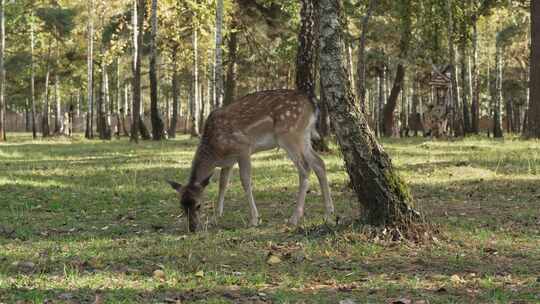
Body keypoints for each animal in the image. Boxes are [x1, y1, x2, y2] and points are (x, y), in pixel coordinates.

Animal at [167, 89, 334, 232]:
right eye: (181, 206)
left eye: (199, 205)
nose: (192, 228)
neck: (215, 153)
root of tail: (312, 105)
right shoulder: (228, 162)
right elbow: (223, 184)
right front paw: (217, 216)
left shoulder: (243, 149)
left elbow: (245, 181)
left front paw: (254, 219)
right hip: (304, 136)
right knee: (319, 163)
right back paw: (328, 212)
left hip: (289, 134)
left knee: (305, 168)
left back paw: (294, 218)